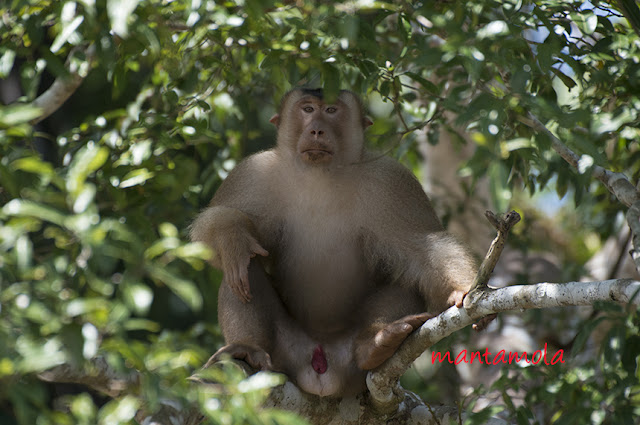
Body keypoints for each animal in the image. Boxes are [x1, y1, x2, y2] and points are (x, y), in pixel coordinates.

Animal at [188, 88, 478, 396]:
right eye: (307, 109)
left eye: (330, 110)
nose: (316, 129)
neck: (320, 176)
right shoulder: (253, 173)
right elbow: (210, 234)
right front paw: (232, 237)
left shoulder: (391, 181)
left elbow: (423, 245)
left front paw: (459, 288)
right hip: (284, 356)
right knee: (242, 268)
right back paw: (247, 347)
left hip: (349, 365)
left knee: (407, 280)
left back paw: (376, 343)